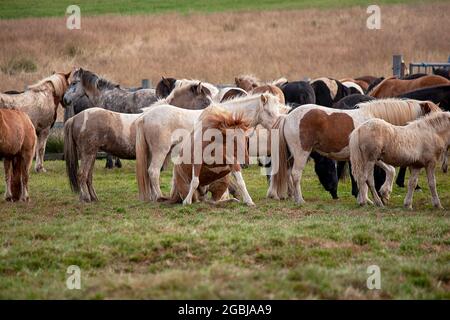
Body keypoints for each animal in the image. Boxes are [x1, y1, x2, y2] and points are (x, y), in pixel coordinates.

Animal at [268, 99, 442, 205]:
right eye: (432, 115)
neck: (374, 121)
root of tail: (287, 117)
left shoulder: (371, 158)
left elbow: (376, 174)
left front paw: (370, 198)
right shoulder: (371, 156)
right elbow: (375, 175)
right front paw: (381, 195)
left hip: (292, 156)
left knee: (288, 173)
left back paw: (291, 196)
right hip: (301, 153)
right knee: (296, 174)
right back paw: (300, 200)